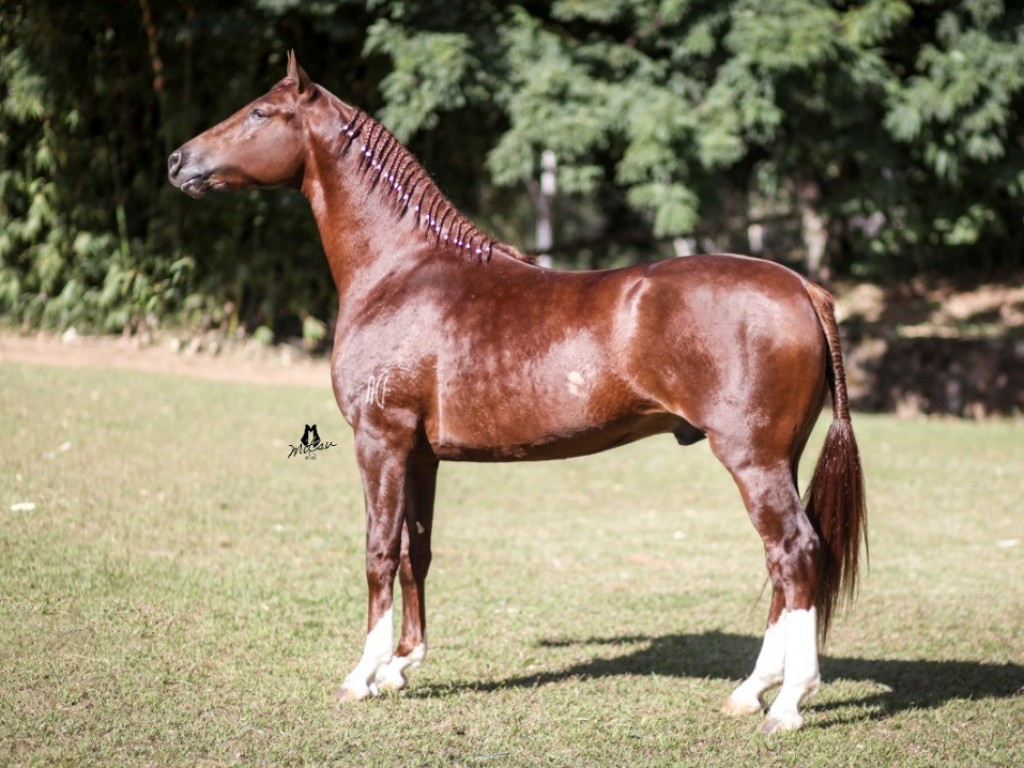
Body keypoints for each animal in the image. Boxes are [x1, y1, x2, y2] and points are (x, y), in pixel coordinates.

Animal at [169, 51, 864, 737]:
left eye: (260, 112)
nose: (178, 161)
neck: (401, 271)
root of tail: (801, 286)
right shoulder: (421, 456)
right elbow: (416, 551)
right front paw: (401, 666)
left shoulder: (380, 441)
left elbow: (379, 552)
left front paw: (362, 676)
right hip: (777, 460)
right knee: (781, 561)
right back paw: (751, 692)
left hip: (752, 460)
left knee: (795, 552)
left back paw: (788, 703)